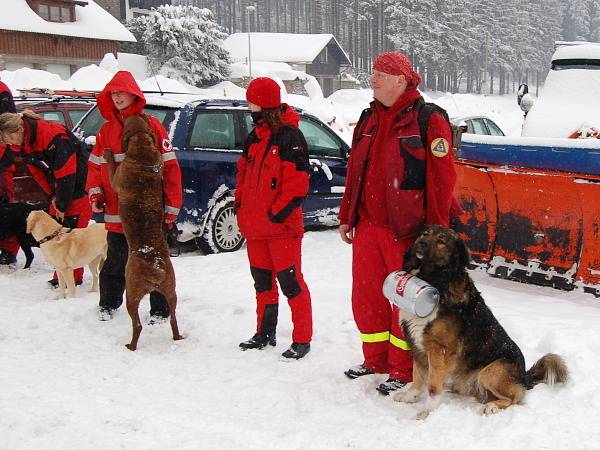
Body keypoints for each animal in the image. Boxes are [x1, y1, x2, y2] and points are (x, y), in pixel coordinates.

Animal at [104, 114, 183, 350]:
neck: (142, 150)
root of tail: (155, 266)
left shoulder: (117, 179)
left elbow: (111, 169)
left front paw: (108, 154)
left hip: (131, 293)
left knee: (137, 325)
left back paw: (131, 346)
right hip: (171, 292)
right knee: (173, 319)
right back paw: (178, 337)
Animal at [394, 227, 568, 420]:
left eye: (441, 241)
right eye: (425, 234)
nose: (422, 243)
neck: (437, 279)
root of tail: (524, 376)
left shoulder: (439, 349)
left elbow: (432, 386)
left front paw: (428, 411)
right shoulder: (416, 342)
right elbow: (417, 374)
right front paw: (410, 396)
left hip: (490, 372)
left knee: (514, 397)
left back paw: (492, 406)